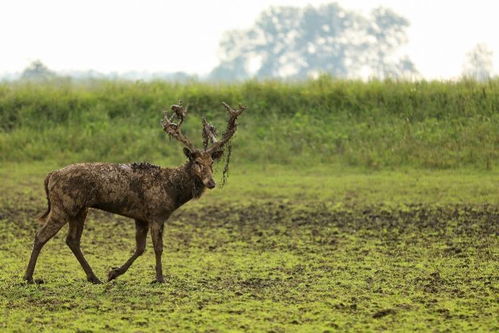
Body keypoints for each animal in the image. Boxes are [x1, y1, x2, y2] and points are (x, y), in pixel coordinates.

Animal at [23, 100, 246, 282]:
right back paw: (29, 277)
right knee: (41, 235)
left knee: (72, 240)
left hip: (80, 209)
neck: (172, 191)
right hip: (63, 205)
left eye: (212, 163)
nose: (211, 182)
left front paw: (113, 273)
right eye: (197, 162)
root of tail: (50, 175)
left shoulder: (141, 217)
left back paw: (94, 277)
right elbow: (158, 247)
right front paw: (160, 278)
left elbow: (140, 248)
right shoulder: (156, 213)